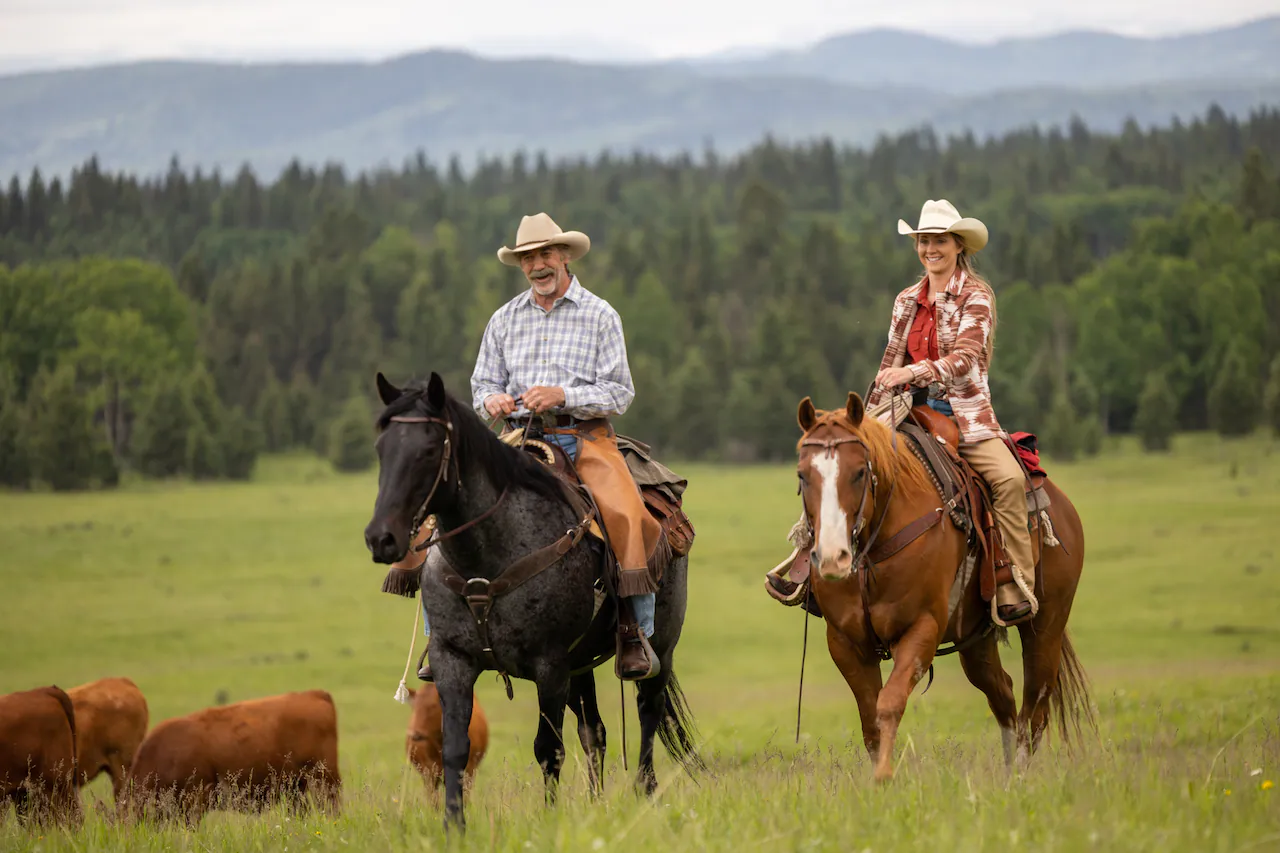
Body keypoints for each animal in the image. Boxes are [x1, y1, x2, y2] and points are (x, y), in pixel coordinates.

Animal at [360, 371, 701, 824]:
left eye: (430, 449)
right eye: (382, 448)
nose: (381, 537)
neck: (487, 556)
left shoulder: (549, 664)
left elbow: (548, 749)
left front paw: (551, 818)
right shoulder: (453, 661)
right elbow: (455, 748)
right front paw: (454, 825)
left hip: (660, 645)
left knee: (648, 711)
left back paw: (645, 794)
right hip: (580, 665)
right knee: (594, 731)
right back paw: (595, 805)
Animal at [798, 391, 1090, 778]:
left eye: (860, 472)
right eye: (802, 475)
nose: (833, 558)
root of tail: (1062, 504)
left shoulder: (921, 629)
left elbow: (889, 703)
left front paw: (883, 778)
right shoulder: (845, 642)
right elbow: (869, 720)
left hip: (1046, 627)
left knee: (1035, 708)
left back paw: (1020, 777)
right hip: (976, 642)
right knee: (1004, 694)